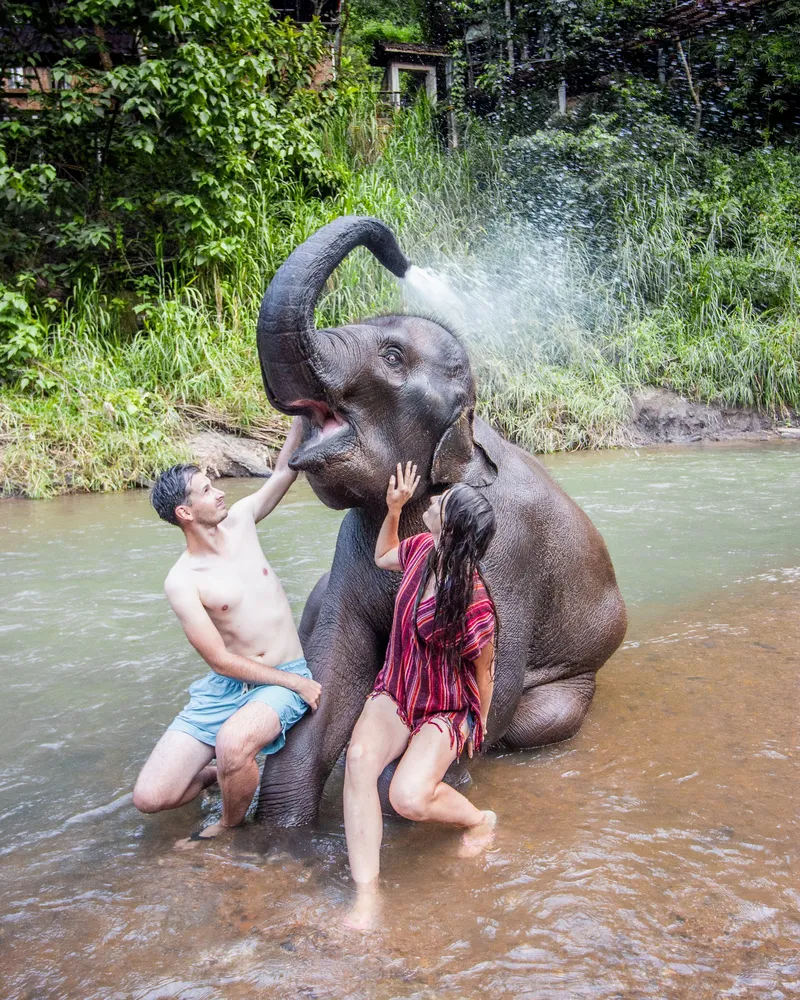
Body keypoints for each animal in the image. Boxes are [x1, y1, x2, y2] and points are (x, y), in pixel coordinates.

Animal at [255, 215, 624, 824]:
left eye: (392, 357)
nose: (400, 260)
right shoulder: (354, 545)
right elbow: (332, 671)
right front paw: (280, 831)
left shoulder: (509, 555)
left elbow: (492, 680)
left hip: (574, 683)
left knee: (533, 721)